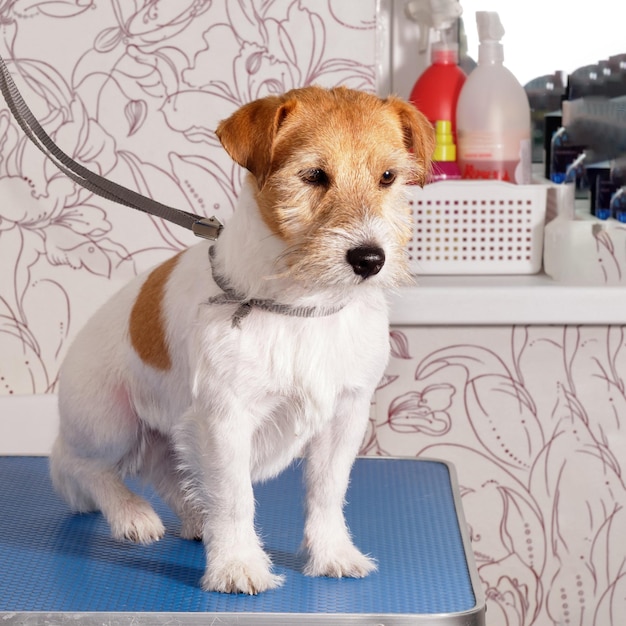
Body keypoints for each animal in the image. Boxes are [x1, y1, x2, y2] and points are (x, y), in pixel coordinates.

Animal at [50, 85, 434, 592]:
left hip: (169, 432)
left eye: (388, 177)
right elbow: (234, 498)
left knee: (167, 469)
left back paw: (196, 517)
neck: (302, 303)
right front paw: (237, 565)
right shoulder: (225, 421)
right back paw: (132, 514)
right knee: (83, 465)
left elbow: (328, 490)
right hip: (110, 422)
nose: (370, 259)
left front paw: (332, 553)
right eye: (313, 175)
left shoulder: (344, 416)